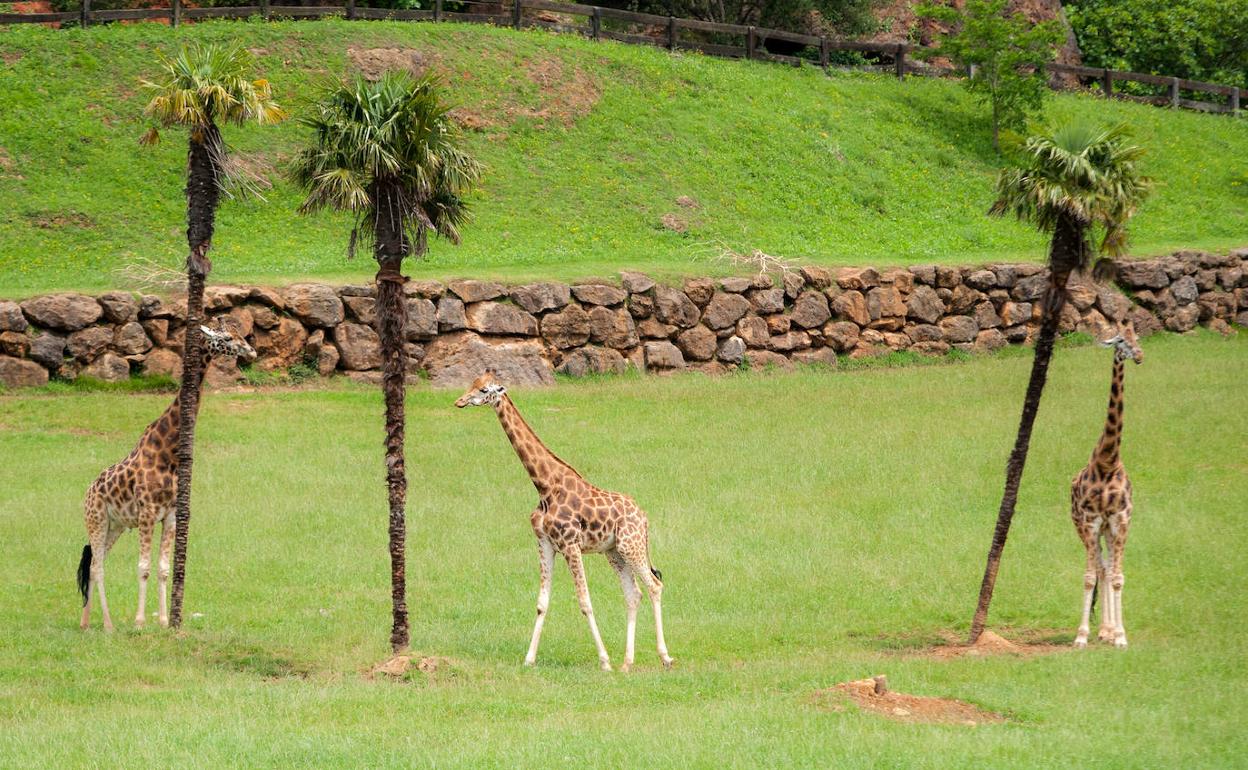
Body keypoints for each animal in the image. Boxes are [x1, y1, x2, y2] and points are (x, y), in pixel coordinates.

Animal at [76, 324, 254, 631]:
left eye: (241, 334)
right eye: (227, 338)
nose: (251, 351)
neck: (168, 453)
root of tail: (88, 491)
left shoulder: (170, 514)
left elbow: (162, 569)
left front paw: (162, 621)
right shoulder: (148, 512)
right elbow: (144, 567)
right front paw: (139, 622)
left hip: (115, 525)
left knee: (94, 563)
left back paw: (86, 623)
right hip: (96, 519)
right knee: (97, 566)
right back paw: (108, 625)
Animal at [456, 369, 673, 668]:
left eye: (483, 390)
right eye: (472, 384)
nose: (459, 401)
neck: (545, 485)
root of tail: (644, 518)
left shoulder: (570, 544)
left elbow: (585, 602)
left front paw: (604, 661)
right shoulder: (545, 543)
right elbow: (541, 603)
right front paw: (529, 659)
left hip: (632, 545)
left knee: (655, 586)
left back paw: (664, 657)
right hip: (614, 551)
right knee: (633, 594)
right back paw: (627, 662)